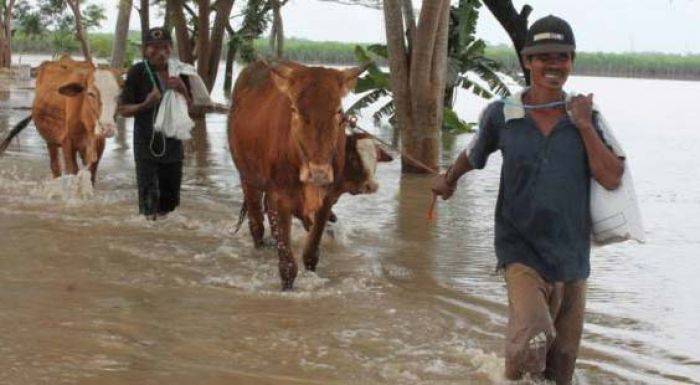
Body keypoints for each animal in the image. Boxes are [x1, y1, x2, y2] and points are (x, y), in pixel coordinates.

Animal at [0, 55, 121, 184]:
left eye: (118, 96)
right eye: (91, 93)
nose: (108, 129)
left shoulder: (98, 146)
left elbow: (90, 176)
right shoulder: (67, 143)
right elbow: (72, 171)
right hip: (50, 140)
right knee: (55, 167)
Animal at [228, 59, 372, 288]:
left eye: (338, 111)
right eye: (295, 109)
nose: (318, 173)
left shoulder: (327, 198)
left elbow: (311, 254)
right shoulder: (279, 197)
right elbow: (287, 266)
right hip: (247, 179)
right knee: (256, 225)